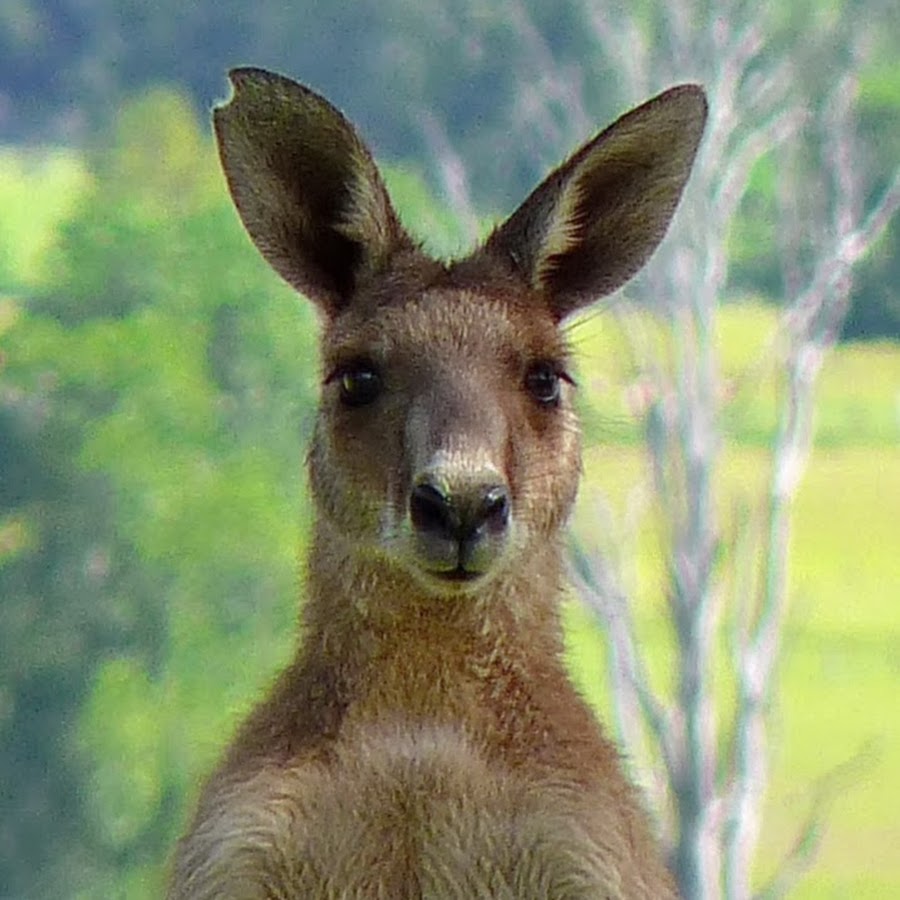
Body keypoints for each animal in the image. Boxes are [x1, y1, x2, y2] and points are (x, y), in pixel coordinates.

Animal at [169, 67, 706, 899]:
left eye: (546, 379)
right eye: (356, 378)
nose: (461, 506)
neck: (420, 734)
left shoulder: (587, 856)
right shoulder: (234, 855)